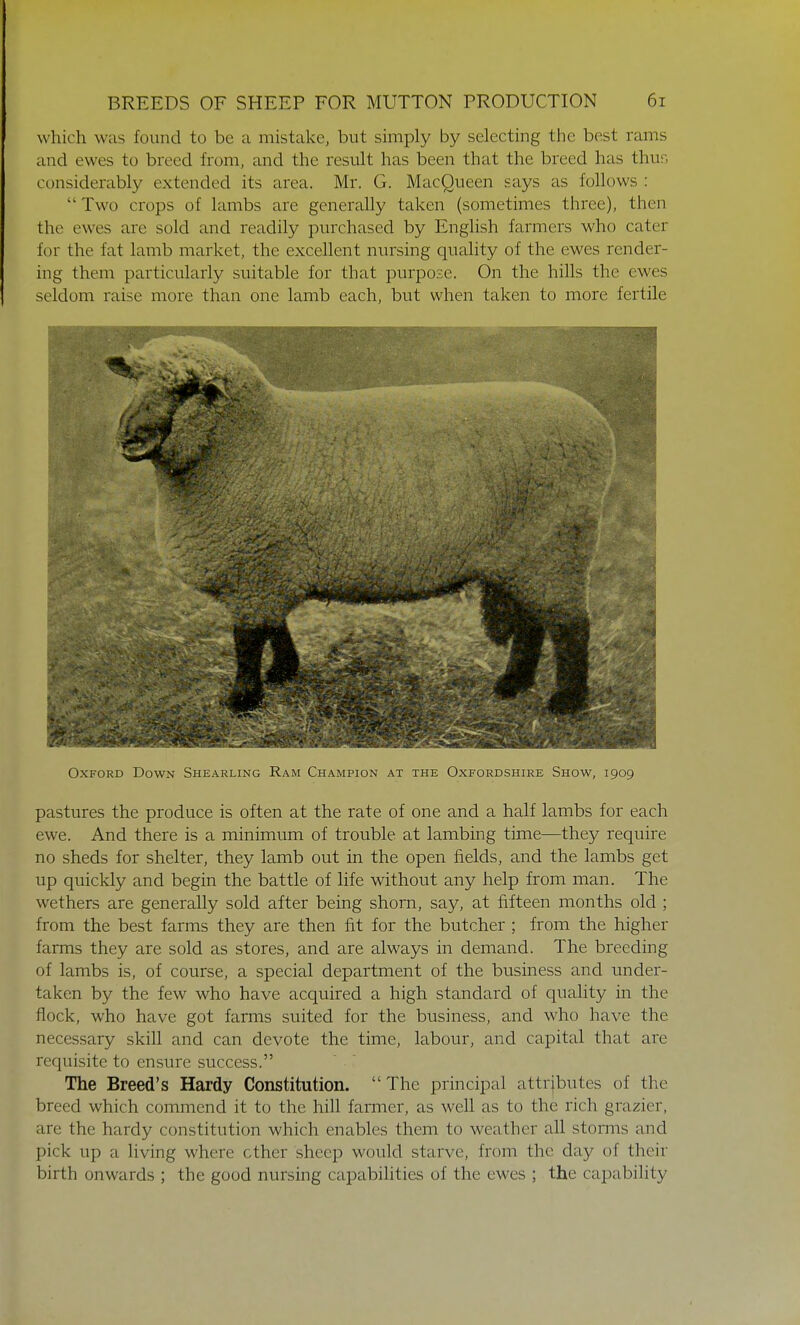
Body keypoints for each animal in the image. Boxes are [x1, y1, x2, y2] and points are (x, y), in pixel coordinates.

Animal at [106, 335, 615, 715]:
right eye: (134, 380)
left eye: (186, 389)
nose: (128, 437)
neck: (254, 438)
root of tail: (599, 425)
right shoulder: (268, 567)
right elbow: (275, 627)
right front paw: (284, 672)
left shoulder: (255, 567)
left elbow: (247, 642)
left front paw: (243, 700)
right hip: (524, 556)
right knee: (532, 623)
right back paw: (513, 684)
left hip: (556, 547)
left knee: (572, 628)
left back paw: (566, 701)